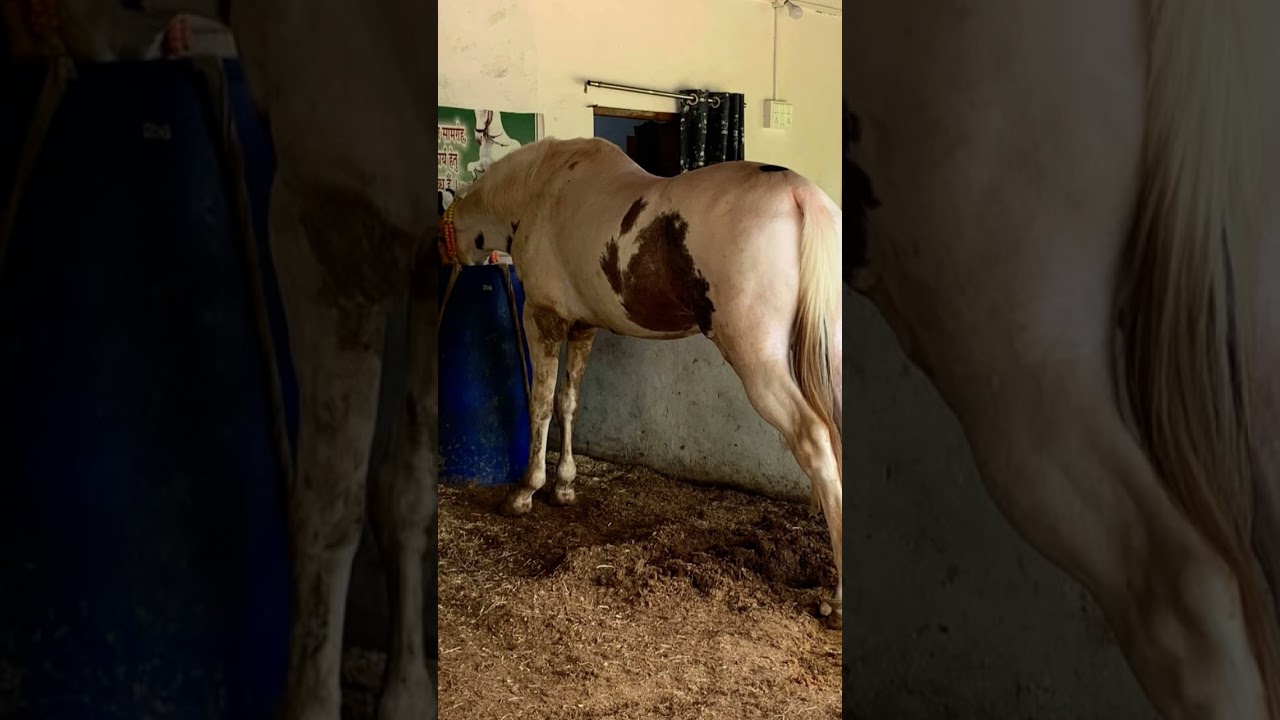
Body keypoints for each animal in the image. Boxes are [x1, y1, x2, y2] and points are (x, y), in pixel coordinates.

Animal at [441, 136, 845, 626]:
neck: (541, 188)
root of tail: (800, 195)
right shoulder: (582, 327)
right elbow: (567, 401)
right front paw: (564, 487)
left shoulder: (544, 319)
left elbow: (539, 404)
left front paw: (525, 492)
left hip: (759, 363)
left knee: (814, 441)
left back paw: (836, 600)